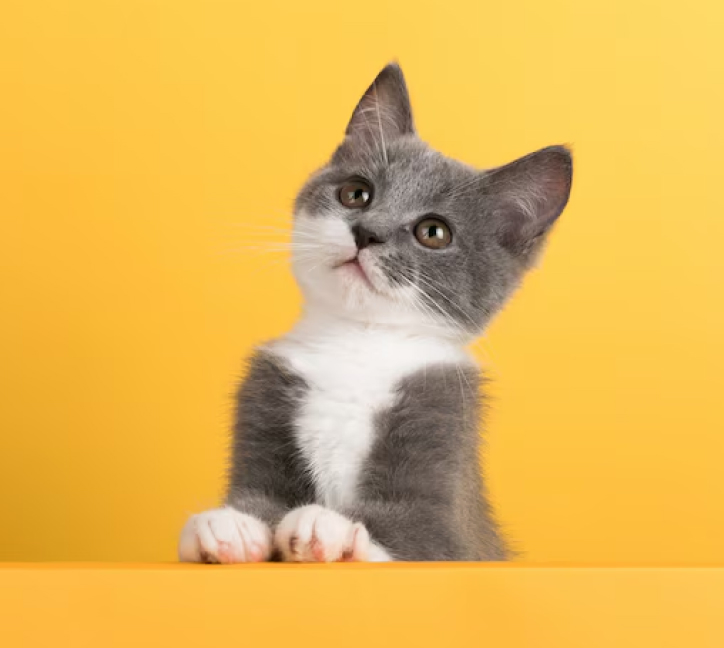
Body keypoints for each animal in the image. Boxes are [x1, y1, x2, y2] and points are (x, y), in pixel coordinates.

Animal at [180, 63, 572, 564]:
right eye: (356, 194)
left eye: (433, 232)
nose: (366, 232)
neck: (356, 340)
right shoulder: (266, 392)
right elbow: (258, 494)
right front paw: (230, 523)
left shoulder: (444, 442)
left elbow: (418, 531)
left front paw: (329, 525)